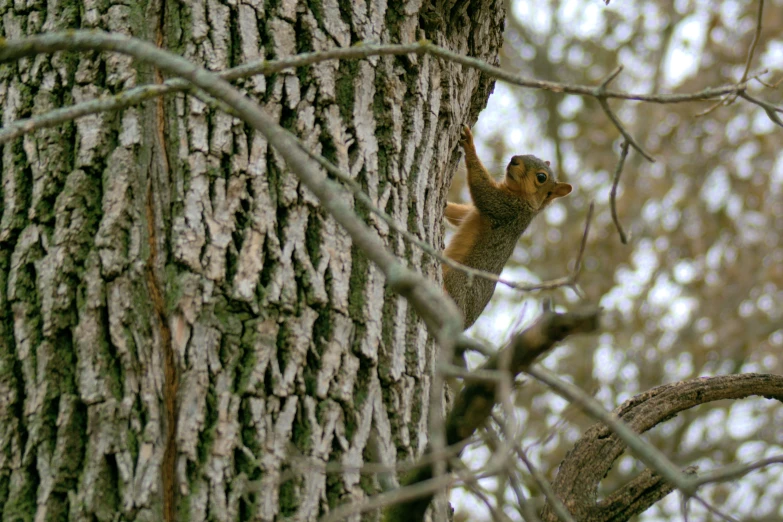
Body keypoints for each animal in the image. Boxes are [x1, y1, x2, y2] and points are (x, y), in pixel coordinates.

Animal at [444, 124, 572, 328]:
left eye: (541, 177)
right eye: (530, 154)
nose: (514, 159)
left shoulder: (507, 209)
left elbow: (483, 191)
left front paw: (470, 145)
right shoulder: (477, 212)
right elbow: (459, 215)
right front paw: (445, 205)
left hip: (457, 280)